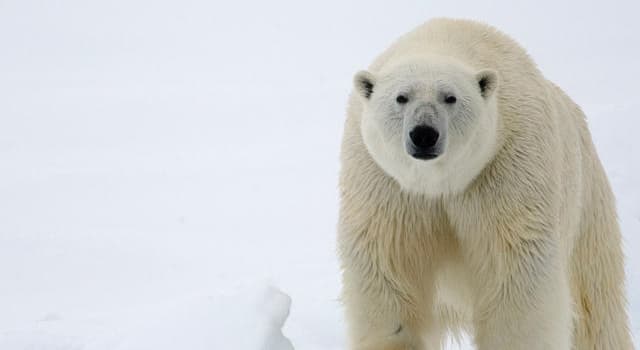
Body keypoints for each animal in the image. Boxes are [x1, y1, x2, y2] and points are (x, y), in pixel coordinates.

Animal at [338, 19, 632, 350]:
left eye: (450, 97)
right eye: (402, 97)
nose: (424, 134)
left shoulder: (506, 166)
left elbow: (516, 273)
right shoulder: (385, 182)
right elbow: (389, 268)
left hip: (586, 201)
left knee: (595, 303)